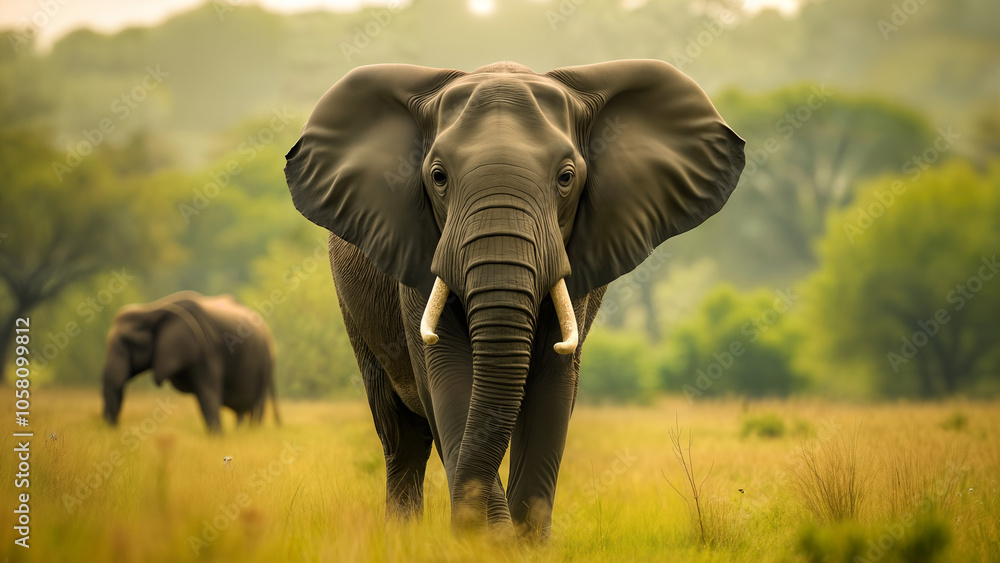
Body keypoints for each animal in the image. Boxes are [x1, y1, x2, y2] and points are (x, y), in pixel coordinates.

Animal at [101, 290, 279, 433]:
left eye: (128, 343)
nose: (112, 427)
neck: (152, 311)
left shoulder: (206, 348)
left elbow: (208, 393)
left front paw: (217, 438)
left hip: (265, 365)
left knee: (257, 404)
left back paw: (253, 432)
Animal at [285, 60, 744, 537]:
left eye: (566, 178)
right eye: (438, 177)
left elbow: (554, 384)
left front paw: (522, 542)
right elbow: (447, 375)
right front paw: (491, 541)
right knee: (402, 436)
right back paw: (402, 536)